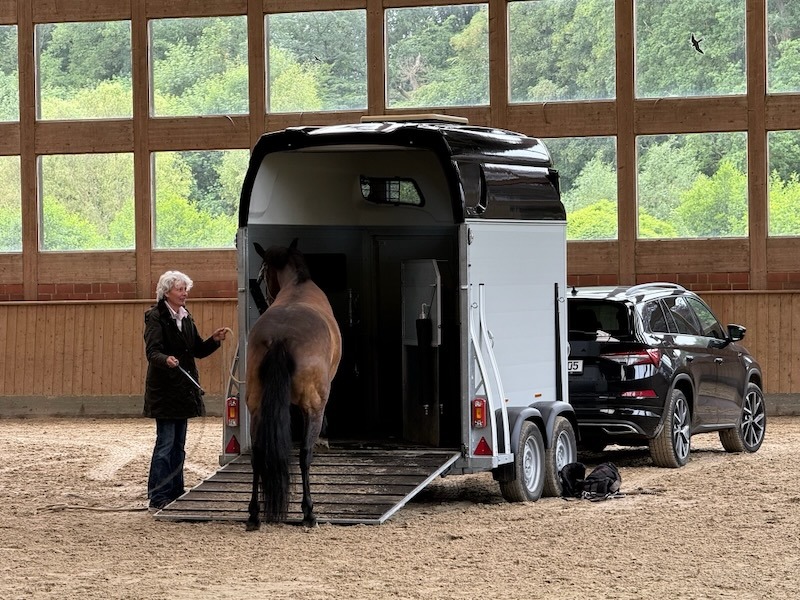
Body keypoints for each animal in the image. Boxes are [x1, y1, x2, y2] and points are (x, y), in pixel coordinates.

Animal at [245, 240, 342, 530]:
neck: (298, 285)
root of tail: (280, 337)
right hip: (313, 406)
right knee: (304, 455)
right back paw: (309, 512)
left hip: (256, 407)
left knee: (258, 454)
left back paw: (253, 514)